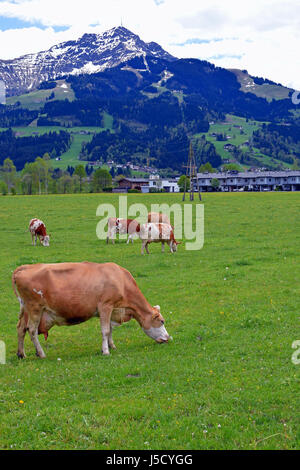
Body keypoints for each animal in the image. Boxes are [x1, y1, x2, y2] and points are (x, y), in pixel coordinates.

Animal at [11, 262, 170, 358]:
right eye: (162, 321)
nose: (169, 338)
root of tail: (24, 267)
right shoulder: (105, 305)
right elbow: (105, 330)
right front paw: (106, 351)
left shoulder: (112, 309)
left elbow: (110, 329)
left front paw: (111, 346)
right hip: (35, 308)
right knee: (31, 330)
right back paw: (41, 353)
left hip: (26, 311)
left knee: (21, 329)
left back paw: (21, 354)